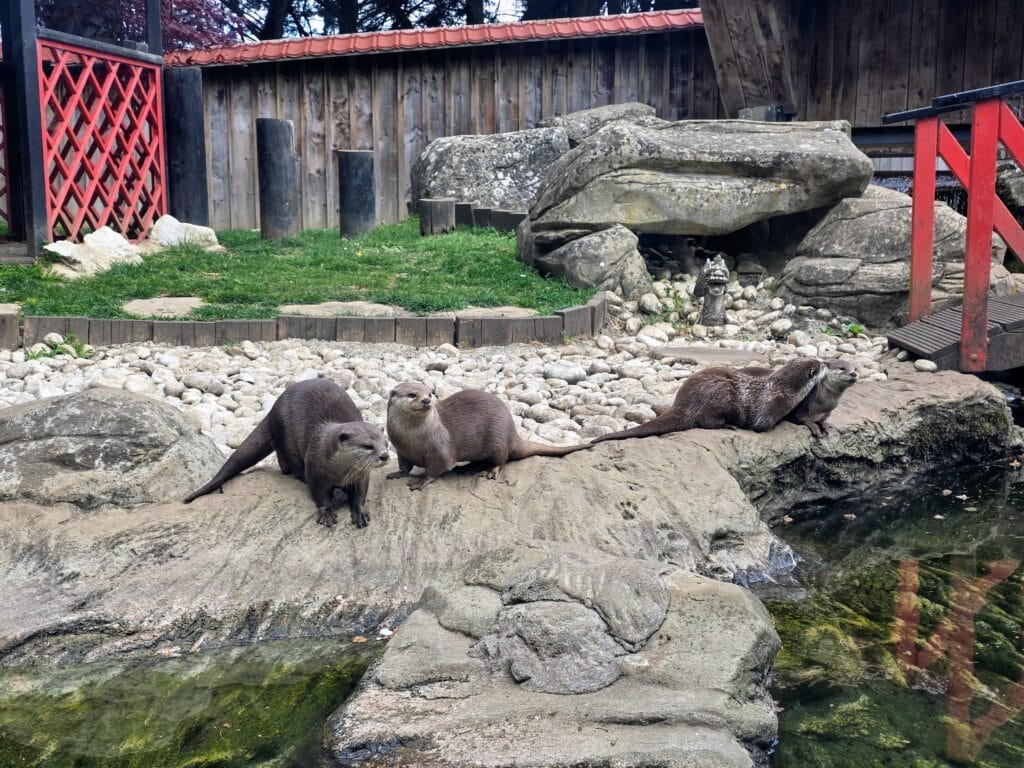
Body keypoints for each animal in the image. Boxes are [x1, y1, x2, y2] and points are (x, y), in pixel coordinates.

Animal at [183, 378, 389, 528]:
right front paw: (326, 513)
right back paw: (295, 473)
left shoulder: (360, 475)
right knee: (285, 459)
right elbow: (319, 493)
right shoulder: (315, 468)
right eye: (367, 446)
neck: (340, 473)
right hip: (284, 434)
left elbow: (360, 493)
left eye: (386, 444)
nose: (385, 456)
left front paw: (360, 512)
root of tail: (272, 411)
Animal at [386, 381, 592, 490]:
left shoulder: (439, 449)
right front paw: (397, 473)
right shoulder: (401, 449)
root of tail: (513, 433)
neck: (411, 439)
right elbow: (404, 465)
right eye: (412, 394)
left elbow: (436, 468)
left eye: (429, 393)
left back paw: (490, 472)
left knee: (501, 460)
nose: (426, 401)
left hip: (498, 439)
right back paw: (465, 468)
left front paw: (421, 481)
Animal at [589, 358, 827, 444]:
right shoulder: (769, 408)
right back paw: (728, 425)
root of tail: (684, 404)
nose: (827, 363)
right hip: (721, 397)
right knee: (706, 422)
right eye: (821, 365)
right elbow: (761, 425)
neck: (783, 390)